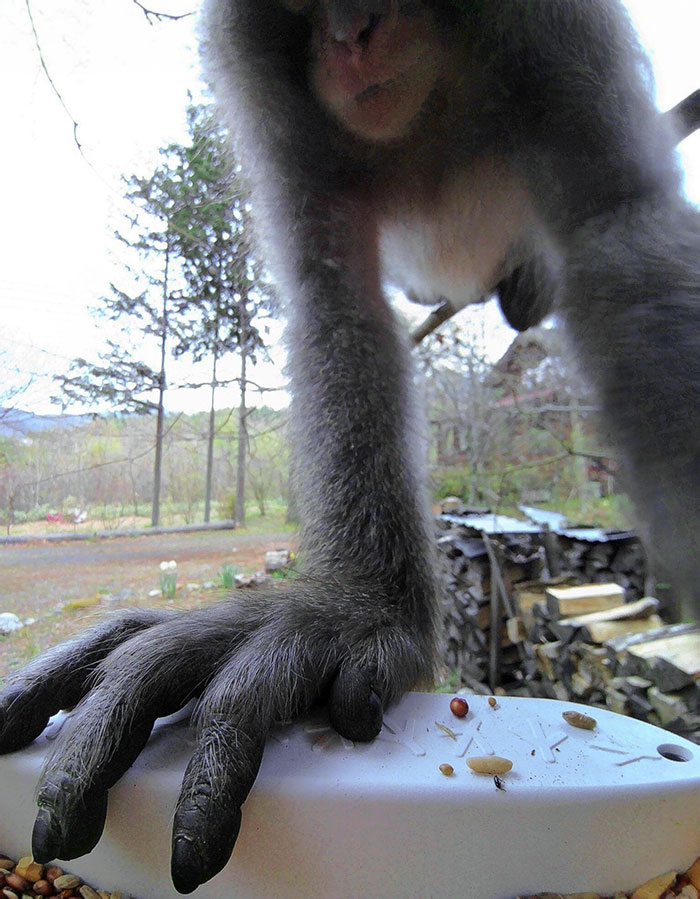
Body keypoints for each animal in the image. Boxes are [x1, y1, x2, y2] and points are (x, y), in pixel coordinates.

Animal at [0, 1, 696, 892]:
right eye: (293, 11)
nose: (351, 34)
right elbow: (338, 298)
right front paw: (362, 605)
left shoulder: (555, 35)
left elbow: (619, 221)